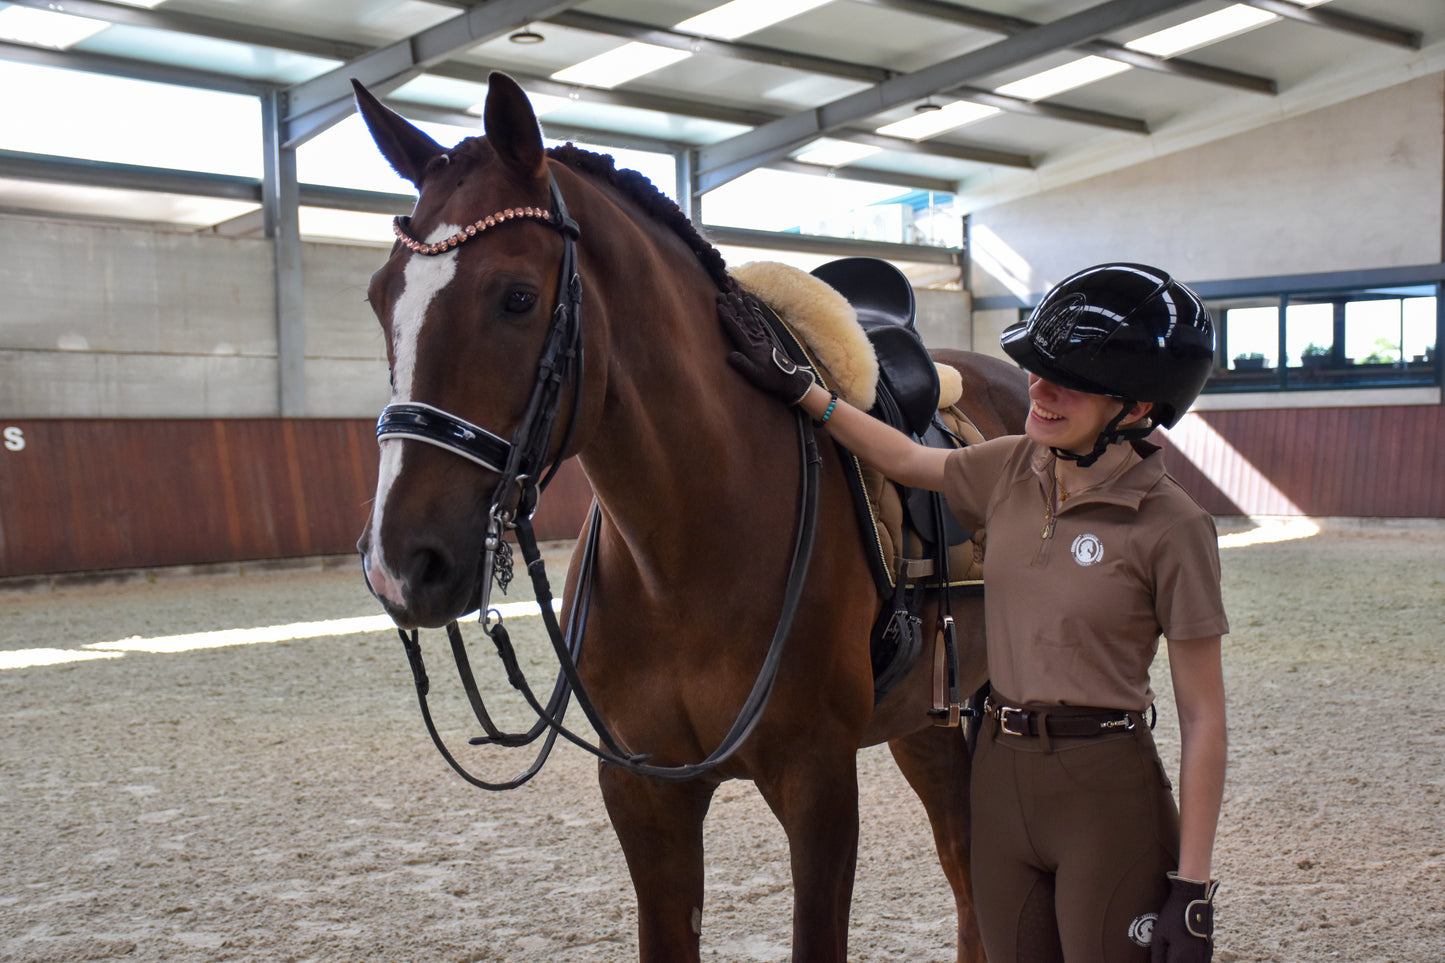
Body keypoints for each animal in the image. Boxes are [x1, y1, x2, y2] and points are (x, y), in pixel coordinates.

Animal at [349, 69, 1028, 960]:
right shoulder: (643, 792)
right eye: (378, 296)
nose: (402, 564)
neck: (686, 550)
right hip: (928, 719)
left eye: (517, 297)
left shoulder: (817, 780)